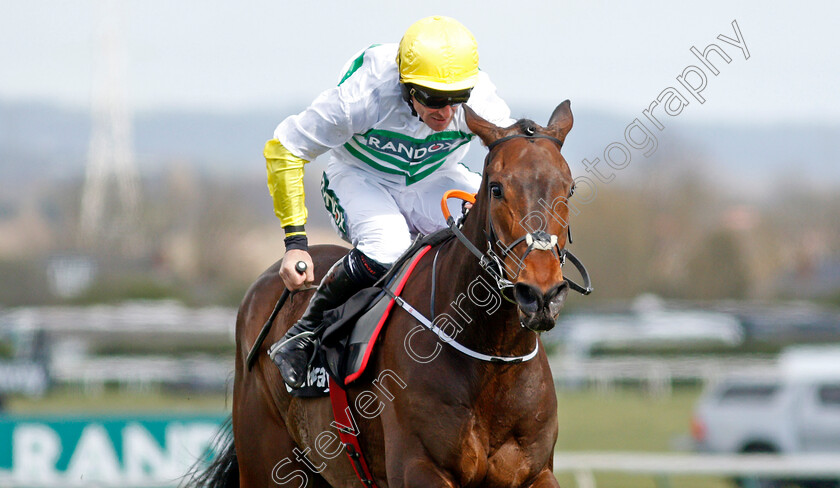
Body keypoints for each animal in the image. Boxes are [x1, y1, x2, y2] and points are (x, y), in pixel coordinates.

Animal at [192, 100, 584, 488]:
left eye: (569, 188)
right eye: (498, 189)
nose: (541, 294)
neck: (493, 360)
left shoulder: (536, 473)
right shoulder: (418, 467)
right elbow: (292, 144)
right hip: (268, 463)